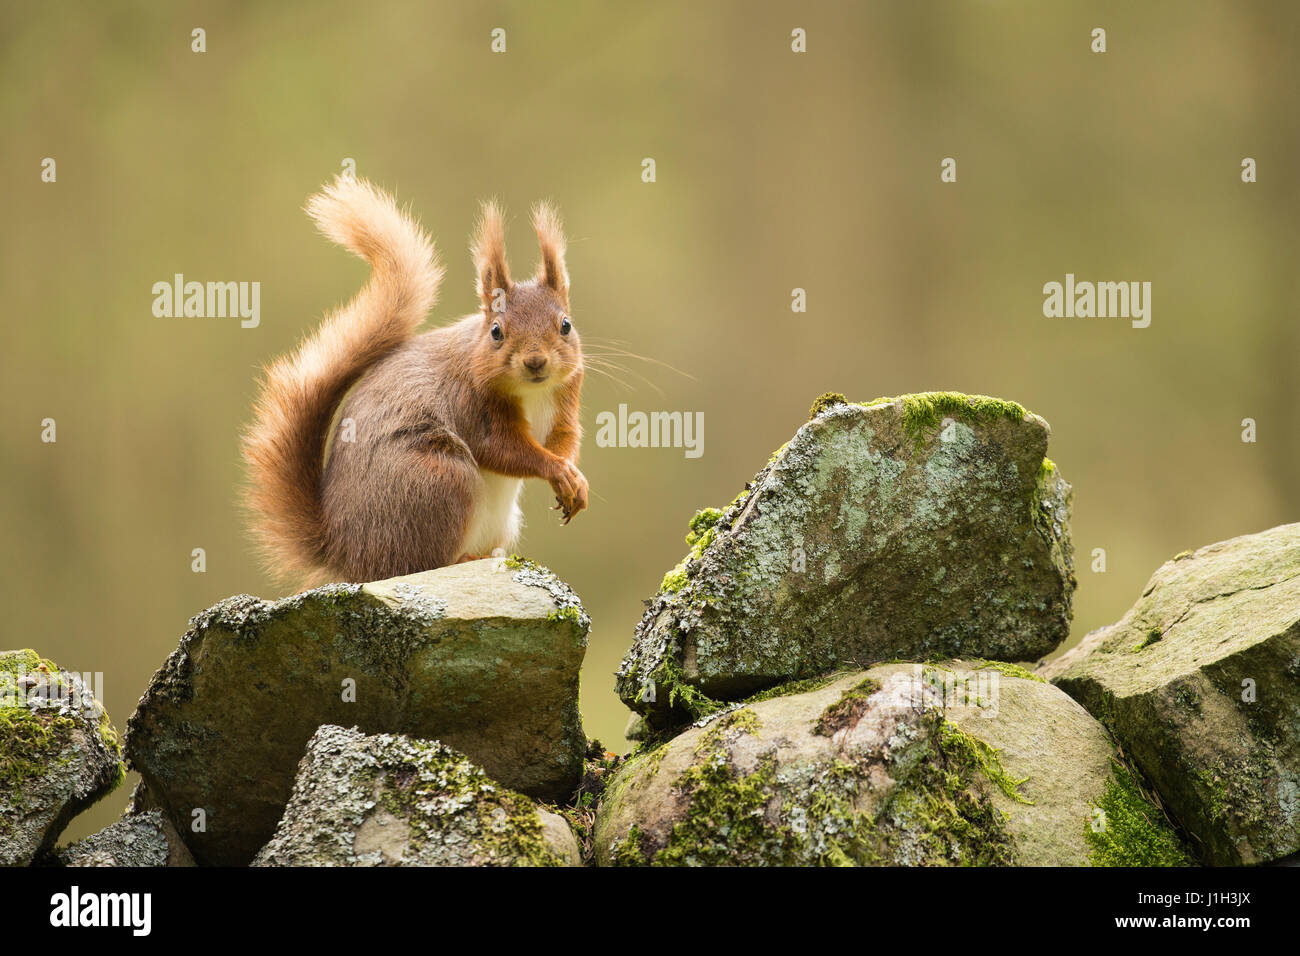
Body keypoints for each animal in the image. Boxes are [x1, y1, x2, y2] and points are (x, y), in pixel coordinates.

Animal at [241, 175, 587, 587]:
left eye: (565, 325)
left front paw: (573, 477)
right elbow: (502, 449)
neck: (532, 392)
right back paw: (463, 559)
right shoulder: (473, 403)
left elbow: (565, 437)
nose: (535, 362)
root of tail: (346, 555)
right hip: (438, 479)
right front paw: (556, 469)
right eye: (496, 332)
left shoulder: (567, 395)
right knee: (419, 563)